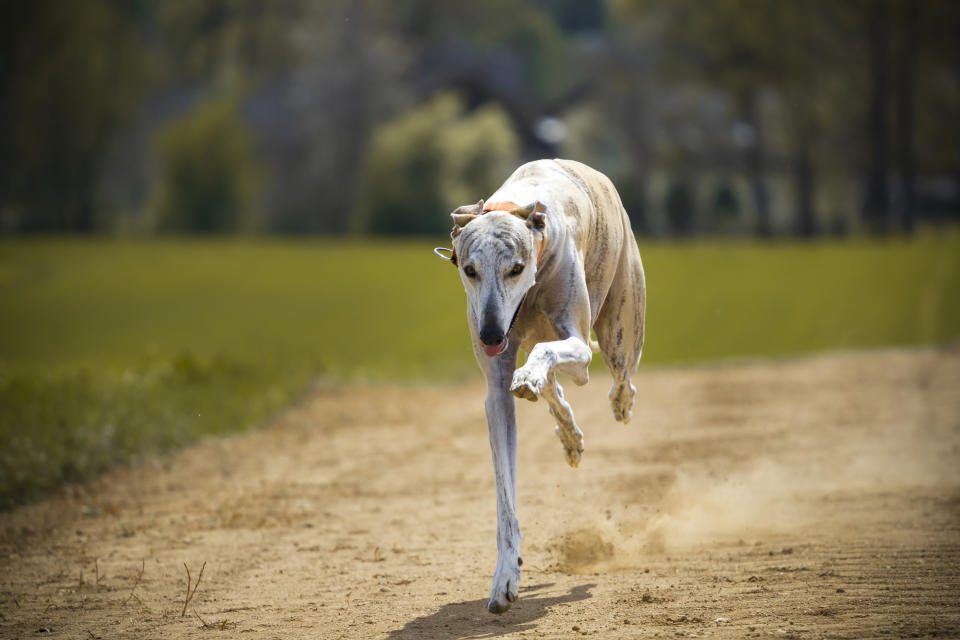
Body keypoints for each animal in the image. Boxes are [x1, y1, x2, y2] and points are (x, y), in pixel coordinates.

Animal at [438, 158, 648, 612]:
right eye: (469, 270)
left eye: (515, 268)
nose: (490, 335)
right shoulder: (496, 393)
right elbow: (505, 497)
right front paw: (505, 576)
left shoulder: (577, 343)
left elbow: (551, 356)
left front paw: (532, 375)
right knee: (554, 383)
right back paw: (567, 433)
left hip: (620, 331)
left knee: (617, 378)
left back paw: (615, 404)